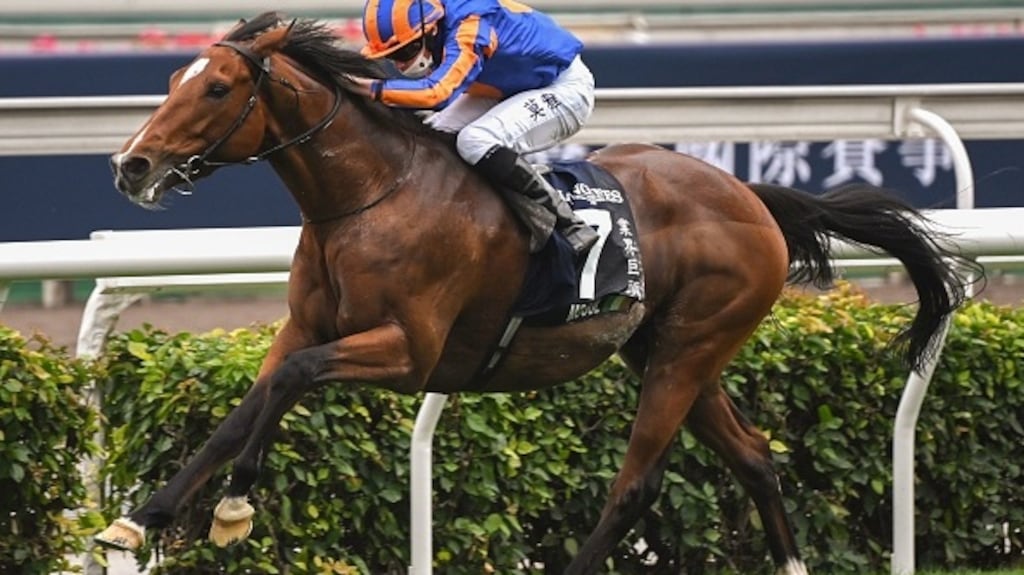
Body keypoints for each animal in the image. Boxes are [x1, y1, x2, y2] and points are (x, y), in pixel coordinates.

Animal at [96, 12, 974, 575]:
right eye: (174, 76)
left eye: (216, 90)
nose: (130, 165)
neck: (372, 195)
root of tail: (752, 197)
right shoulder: (303, 326)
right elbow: (247, 403)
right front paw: (139, 519)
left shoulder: (408, 351)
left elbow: (291, 380)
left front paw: (235, 505)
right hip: (668, 350)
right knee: (756, 458)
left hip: (689, 348)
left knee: (636, 484)